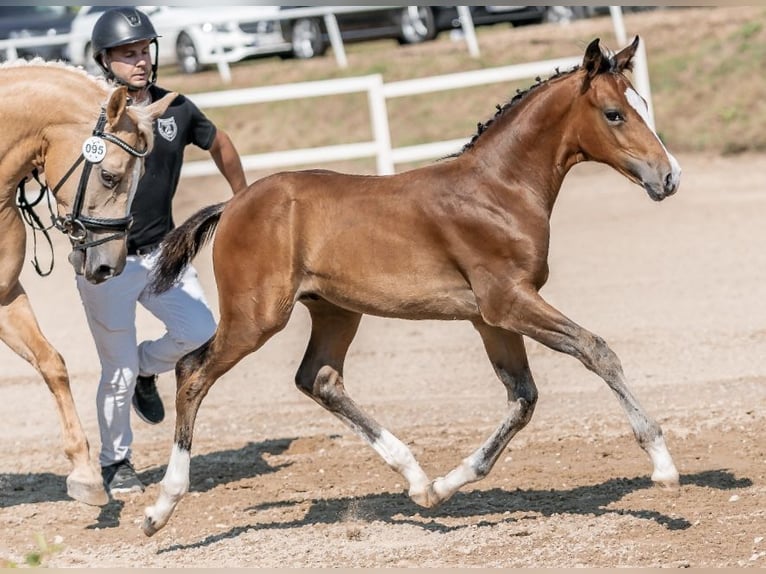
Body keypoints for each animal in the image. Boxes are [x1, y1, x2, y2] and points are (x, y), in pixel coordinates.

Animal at [141, 38, 680, 536]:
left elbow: (522, 397)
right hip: (256, 317)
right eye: (614, 114)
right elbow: (596, 350)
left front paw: (442, 487)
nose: (670, 176)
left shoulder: (490, 317)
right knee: (193, 372)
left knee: (319, 378)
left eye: (642, 103)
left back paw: (416, 478)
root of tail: (233, 205)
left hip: (336, 310)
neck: (500, 190)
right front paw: (662, 464)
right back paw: (160, 508)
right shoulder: (509, 301)